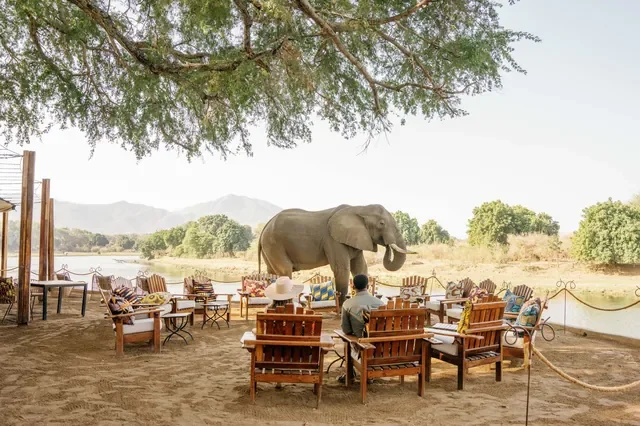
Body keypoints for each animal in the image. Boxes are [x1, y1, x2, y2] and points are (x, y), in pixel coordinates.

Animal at [258, 204, 415, 304]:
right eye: (381, 223)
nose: (387, 245)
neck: (359, 208)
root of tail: (266, 225)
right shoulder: (333, 240)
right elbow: (342, 269)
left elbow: (360, 268)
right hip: (274, 243)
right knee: (285, 271)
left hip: (269, 246)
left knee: (273, 272)